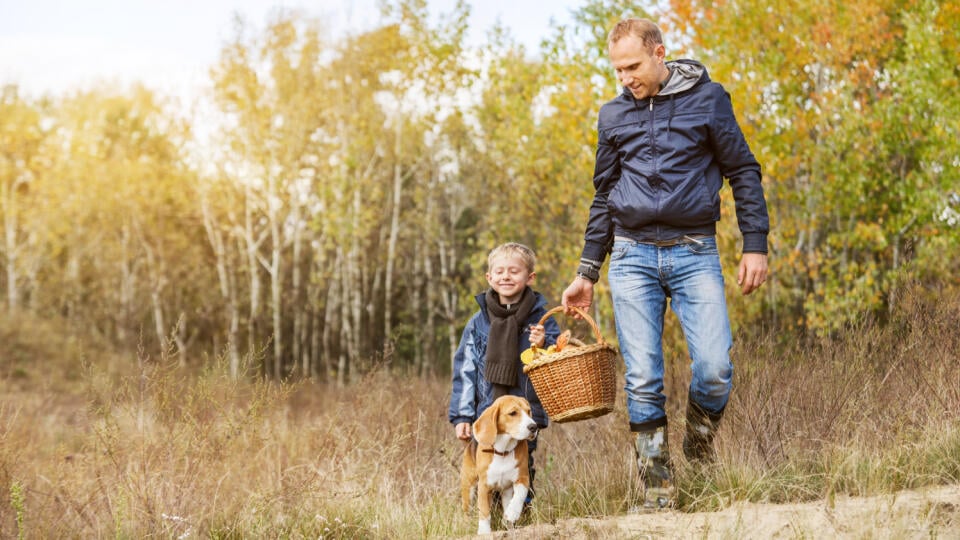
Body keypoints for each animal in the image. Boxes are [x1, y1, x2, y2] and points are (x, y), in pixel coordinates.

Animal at [460, 394, 540, 532]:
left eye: (529, 411)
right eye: (513, 413)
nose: (533, 427)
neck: (503, 451)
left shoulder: (523, 478)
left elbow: (519, 495)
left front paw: (512, 513)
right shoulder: (484, 486)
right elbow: (484, 512)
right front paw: (484, 531)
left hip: (506, 491)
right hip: (468, 488)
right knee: (467, 511)